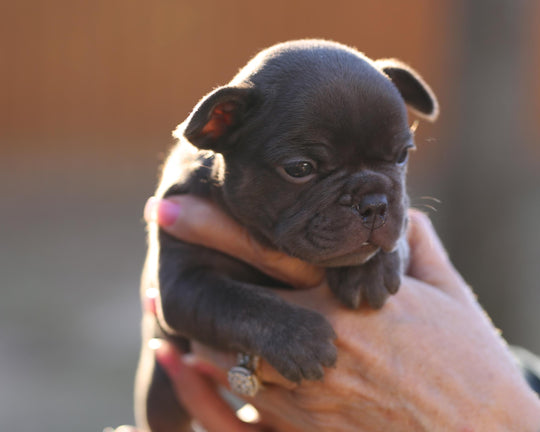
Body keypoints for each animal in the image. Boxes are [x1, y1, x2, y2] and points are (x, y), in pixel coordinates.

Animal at [135, 38, 438, 430]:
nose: (373, 203)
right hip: (161, 387)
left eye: (402, 155)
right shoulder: (183, 284)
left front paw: (370, 270)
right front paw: (298, 338)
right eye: (299, 169)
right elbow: (239, 302)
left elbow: (400, 233)